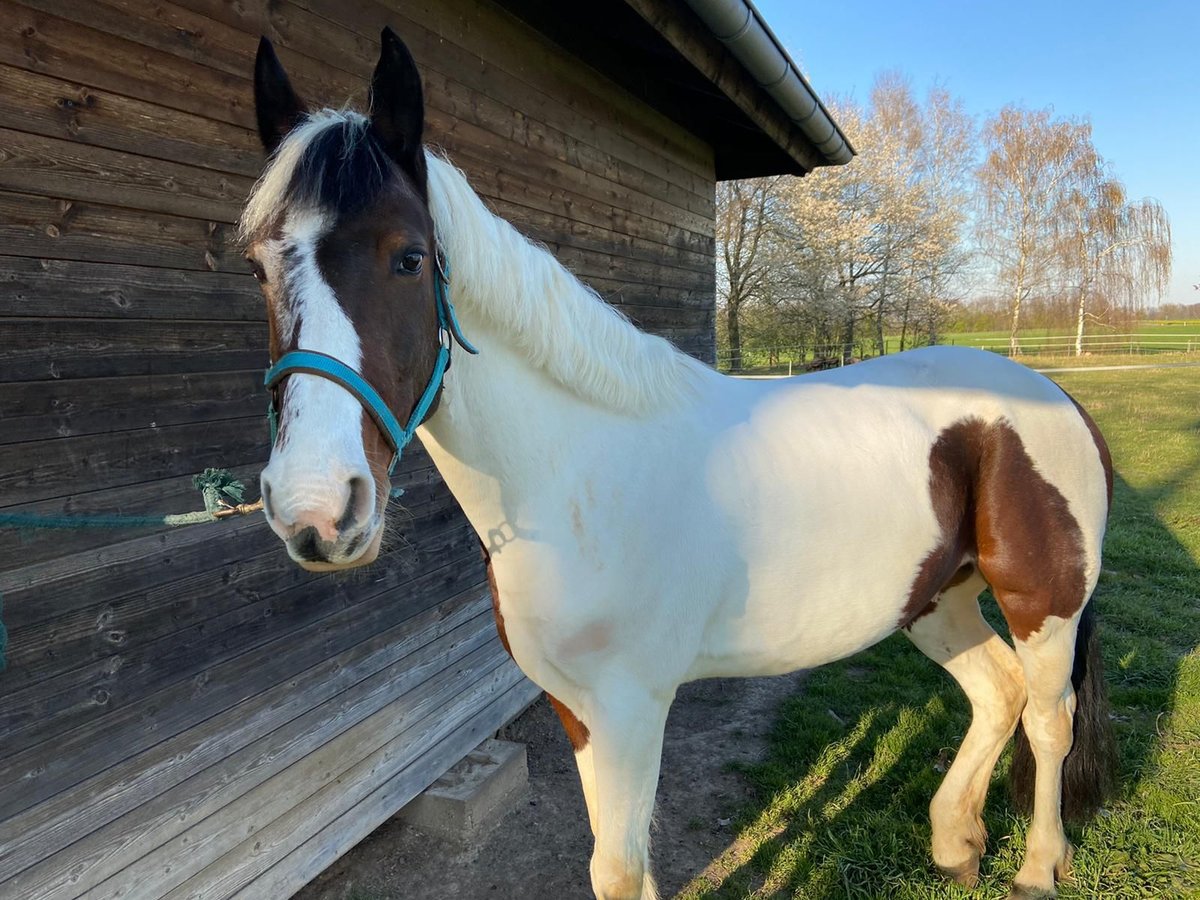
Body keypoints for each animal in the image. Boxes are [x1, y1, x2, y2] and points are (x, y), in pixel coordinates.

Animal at [241, 28, 1113, 900]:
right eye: (257, 265)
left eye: (409, 257)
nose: (317, 508)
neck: (577, 482)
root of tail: (1053, 395)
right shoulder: (579, 710)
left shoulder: (633, 707)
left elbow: (618, 868)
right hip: (937, 598)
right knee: (996, 694)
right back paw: (956, 842)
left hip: (1043, 605)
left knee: (1048, 719)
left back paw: (1038, 866)